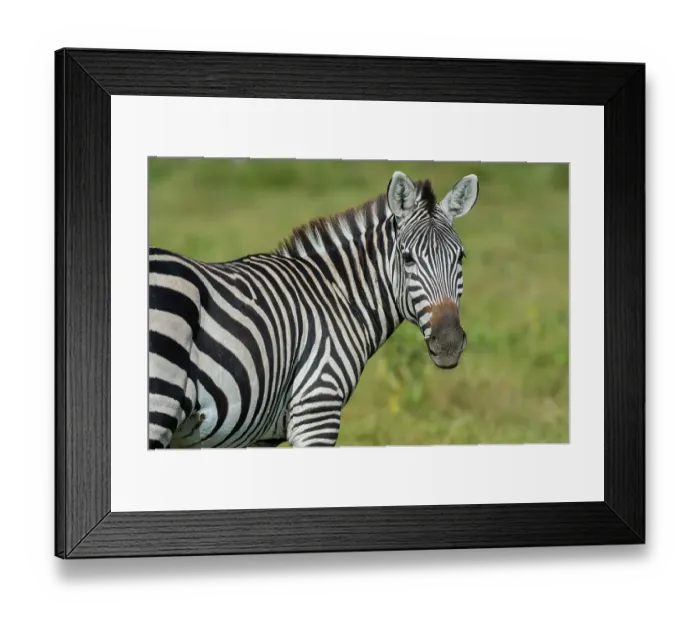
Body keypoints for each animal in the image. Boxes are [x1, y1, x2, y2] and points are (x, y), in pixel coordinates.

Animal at [148, 170, 480, 449]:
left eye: (461, 257)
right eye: (408, 258)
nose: (449, 344)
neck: (338, 296)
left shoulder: (262, 436)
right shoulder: (317, 408)